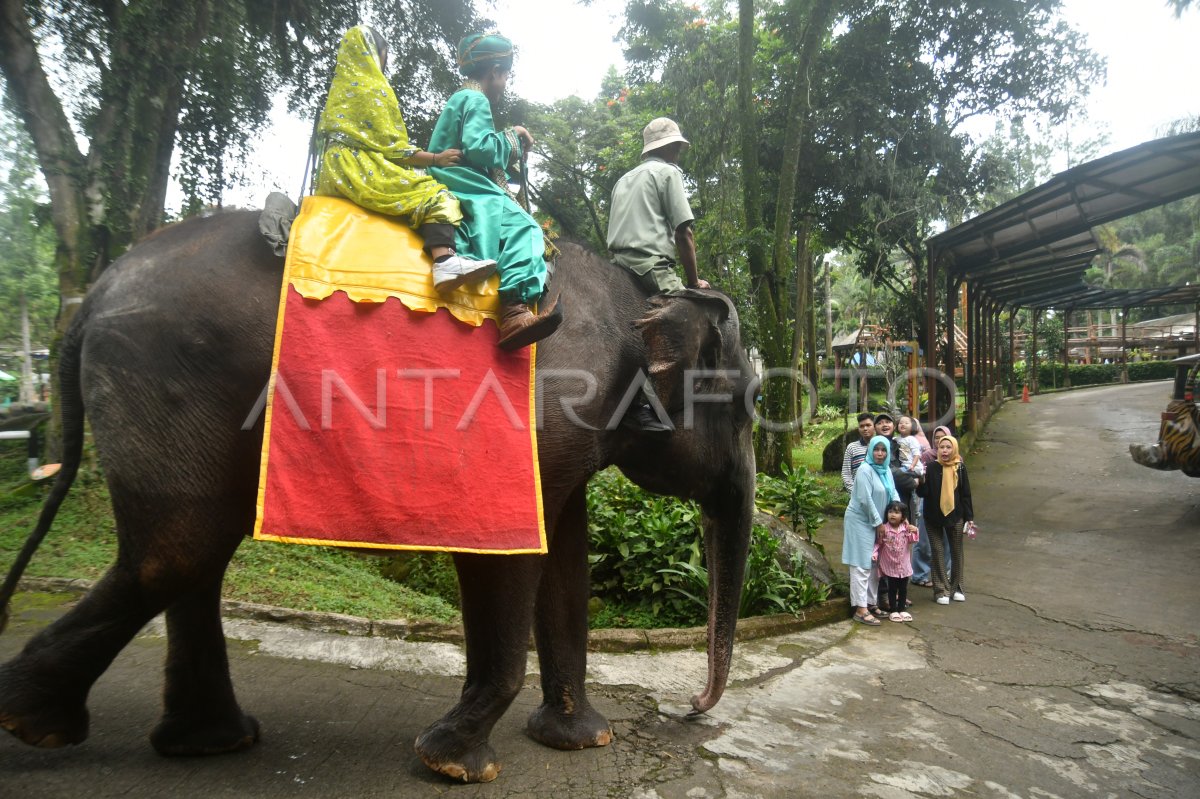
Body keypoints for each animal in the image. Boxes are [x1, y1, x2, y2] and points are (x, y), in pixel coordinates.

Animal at [0, 208, 753, 782]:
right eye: (749, 405)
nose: (692, 705)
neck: (636, 302)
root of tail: (95, 295)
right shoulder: (536, 418)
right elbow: (509, 552)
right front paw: (451, 762)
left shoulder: (571, 437)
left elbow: (568, 559)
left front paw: (577, 739)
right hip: (163, 374)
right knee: (176, 550)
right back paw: (34, 725)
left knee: (198, 549)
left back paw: (206, 740)